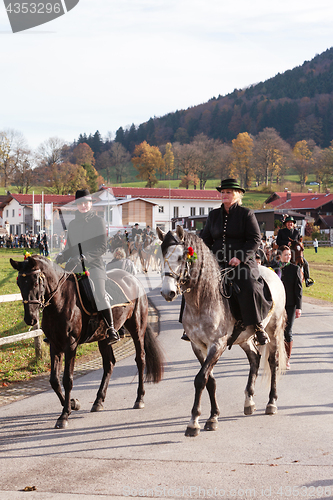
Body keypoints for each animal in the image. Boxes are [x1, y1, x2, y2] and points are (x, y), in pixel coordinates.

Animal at [11, 256, 164, 428]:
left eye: (35, 282)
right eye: (19, 283)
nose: (30, 318)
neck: (60, 300)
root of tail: (134, 280)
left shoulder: (70, 345)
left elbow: (67, 379)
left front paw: (64, 415)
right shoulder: (55, 345)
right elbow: (54, 380)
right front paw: (72, 404)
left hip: (137, 329)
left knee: (140, 359)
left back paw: (139, 398)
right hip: (103, 338)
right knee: (109, 364)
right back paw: (98, 401)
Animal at [156, 227, 286, 438]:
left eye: (182, 257)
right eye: (162, 255)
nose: (167, 292)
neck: (203, 298)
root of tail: (271, 272)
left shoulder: (217, 345)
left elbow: (201, 379)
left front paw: (194, 422)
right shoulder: (197, 346)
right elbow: (210, 380)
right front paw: (213, 416)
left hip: (273, 330)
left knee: (272, 362)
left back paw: (271, 402)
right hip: (244, 337)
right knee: (255, 358)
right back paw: (249, 401)